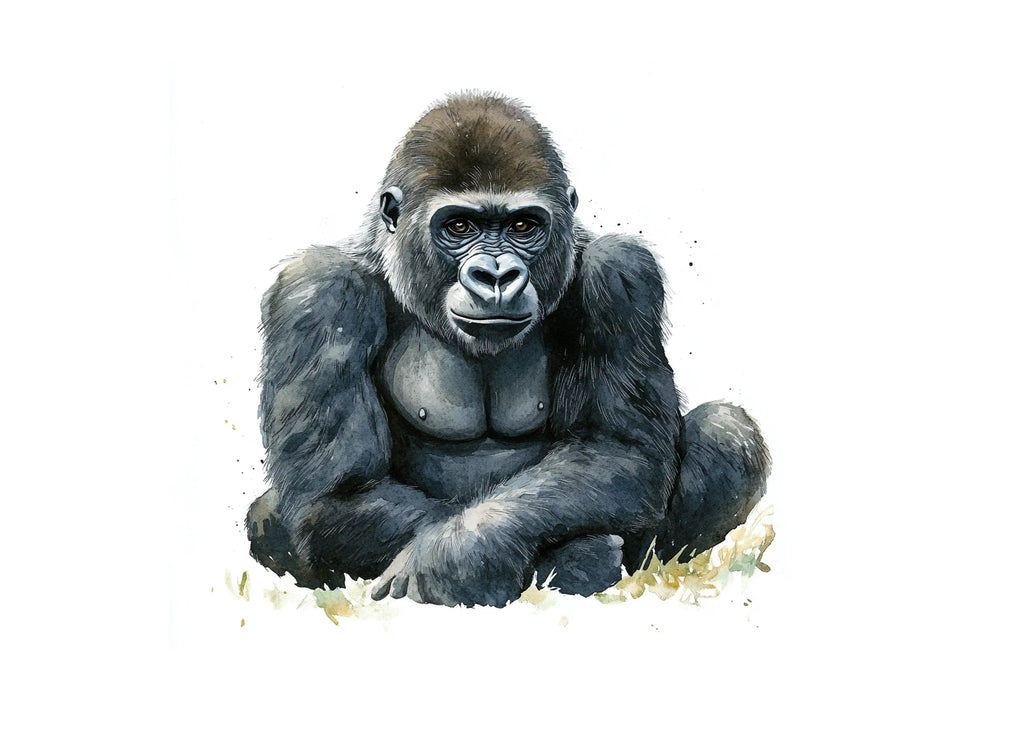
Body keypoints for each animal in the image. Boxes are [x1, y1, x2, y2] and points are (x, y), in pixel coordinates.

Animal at [246, 93, 770, 607]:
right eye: (459, 226)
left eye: (522, 226)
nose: (496, 276)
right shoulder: (317, 293)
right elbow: (340, 493)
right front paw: (552, 561)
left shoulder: (622, 274)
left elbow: (623, 450)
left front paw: (453, 557)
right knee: (268, 515)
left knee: (726, 432)